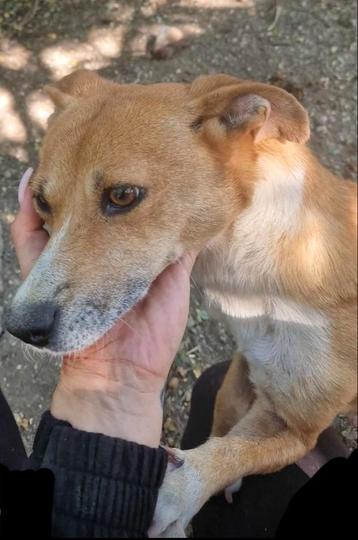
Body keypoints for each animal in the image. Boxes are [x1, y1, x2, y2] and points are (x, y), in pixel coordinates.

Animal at [6, 70, 358, 536]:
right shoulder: (245, 364)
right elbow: (226, 418)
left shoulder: (299, 428)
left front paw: (179, 492)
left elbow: (235, 451)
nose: (20, 327)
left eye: (123, 196)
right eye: (42, 202)